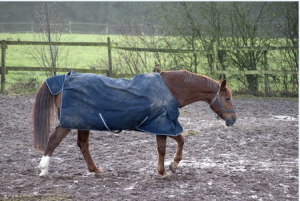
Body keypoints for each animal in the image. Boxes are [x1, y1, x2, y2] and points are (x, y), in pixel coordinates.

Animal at [31, 70, 236, 177]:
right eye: (227, 98)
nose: (233, 119)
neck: (172, 89)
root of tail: (64, 78)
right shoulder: (162, 124)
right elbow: (164, 148)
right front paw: (164, 170)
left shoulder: (164, 125)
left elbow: (180, 140)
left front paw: (173, 165)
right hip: (70, 122)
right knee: (54, 140)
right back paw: (43, 168)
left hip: (83, 123)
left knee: (83, 145)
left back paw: (95, 170)